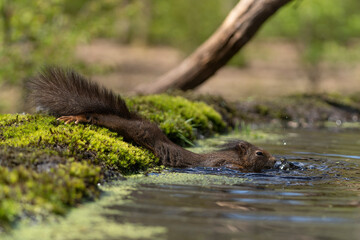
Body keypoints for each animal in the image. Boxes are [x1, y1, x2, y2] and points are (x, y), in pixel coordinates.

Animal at [27, 67, 276, 172]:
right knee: (103, 118)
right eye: (259, 153)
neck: (232, 155)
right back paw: (78, 117)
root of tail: (143, 121)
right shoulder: (221, 163)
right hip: (133, 129)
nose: (275, 161)